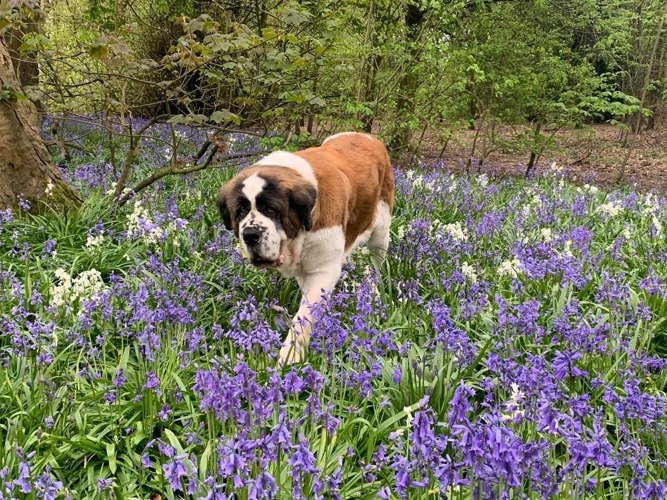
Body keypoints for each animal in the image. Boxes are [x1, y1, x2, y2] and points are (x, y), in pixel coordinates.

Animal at [219, 131, 394, 366]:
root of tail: (366, 136)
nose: (250, 234)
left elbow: (305, 314)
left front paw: (289, 357)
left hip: (380, 231)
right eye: (240, 212)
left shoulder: (323, 269)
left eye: (271, 209)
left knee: (377, 262)